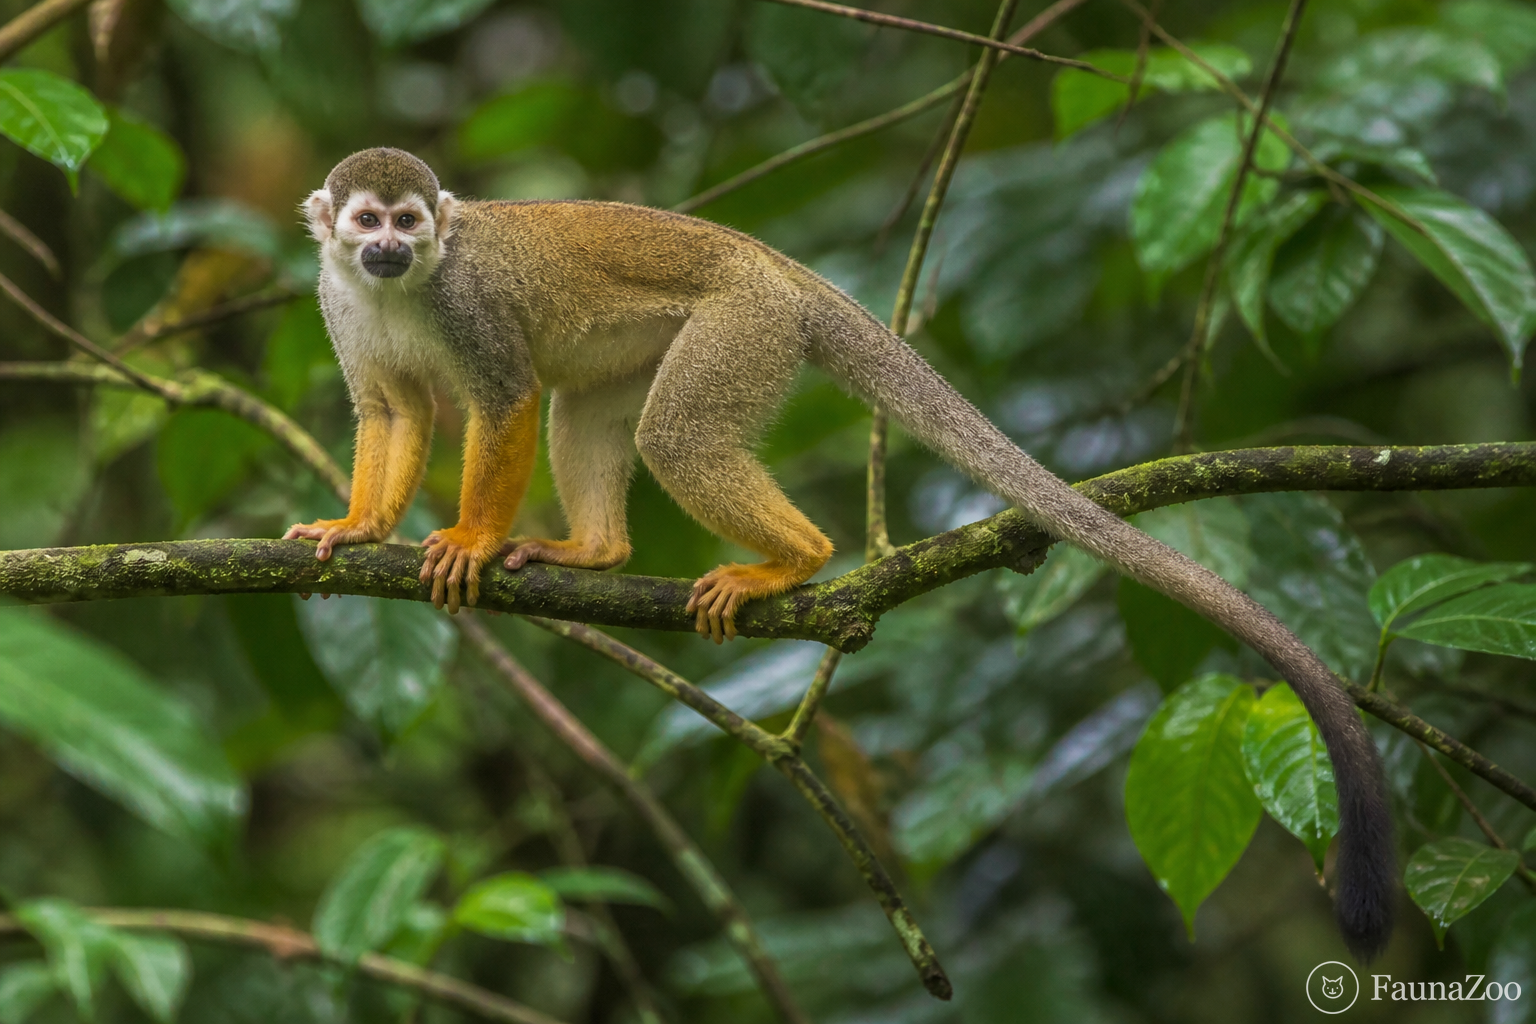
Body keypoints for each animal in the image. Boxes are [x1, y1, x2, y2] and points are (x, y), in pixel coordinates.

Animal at [284, 148, 1394, 959]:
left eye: (411, 223)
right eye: (366, 224)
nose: (389, 250)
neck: (402, 290)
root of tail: (771, 263)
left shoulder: (467, 303)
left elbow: (505, 399)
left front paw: (468, 538)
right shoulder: (340, 303)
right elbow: (393, 407)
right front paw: (358, 529)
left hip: (743, 327)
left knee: (673, 435)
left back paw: (796, 560)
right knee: (597, 405)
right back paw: (597, 552)